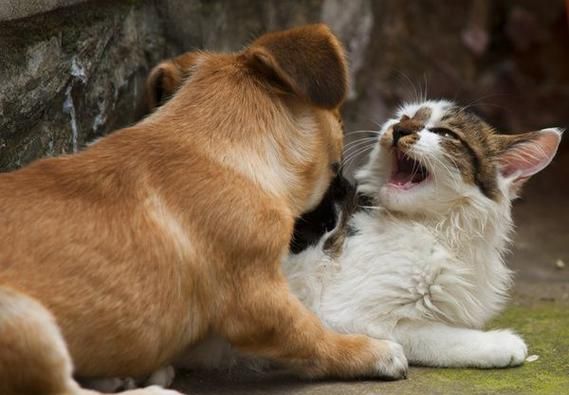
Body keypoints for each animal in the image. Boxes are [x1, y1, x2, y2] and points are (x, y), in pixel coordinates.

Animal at [2, 25, 406, 395]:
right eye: (336, 164)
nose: (352, 192)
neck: (218, 147)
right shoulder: (259, 301)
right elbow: (313, 336)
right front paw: (371, 352)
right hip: (26, 320)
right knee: (61, 389)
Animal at [286, 99, 560, 368]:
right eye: (405, 118)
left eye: (445, 134)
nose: (399, 129)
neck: (439, 230)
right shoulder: (346, 314)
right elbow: (436, 335)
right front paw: (499, 343)